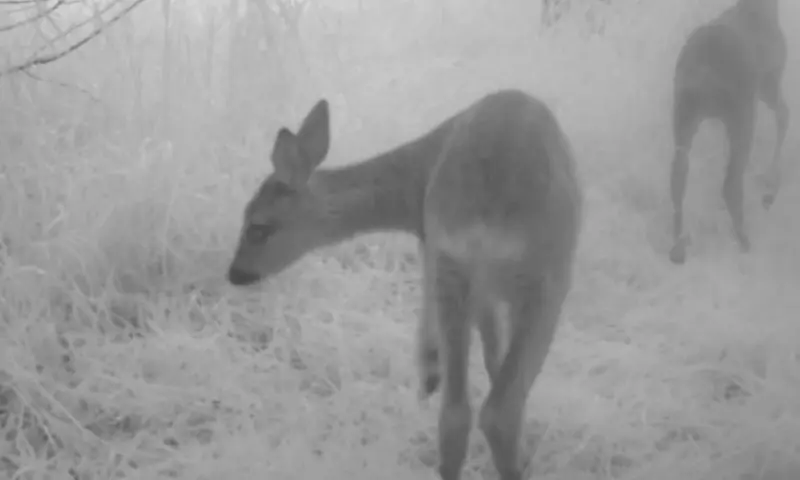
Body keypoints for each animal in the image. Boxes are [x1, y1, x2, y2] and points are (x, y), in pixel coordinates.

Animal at [226, 89, 583, 480]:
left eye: (258, 227)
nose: (235, 274)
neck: (415, 184)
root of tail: (486, 215)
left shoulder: (438, 248)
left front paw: (429, 374)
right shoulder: (436, 247)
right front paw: (430, 371)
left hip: (461, 269)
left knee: (457, 412)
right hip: (544, 278)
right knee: (498, 410)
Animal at [669, 0, 789, 264]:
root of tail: (705, 77)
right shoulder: (769, 81)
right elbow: (785, 116)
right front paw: (771, 185)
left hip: (684, 116)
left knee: (678, 176)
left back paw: (678, 247)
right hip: (741, 113)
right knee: (731, 183)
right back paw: (745, 243)